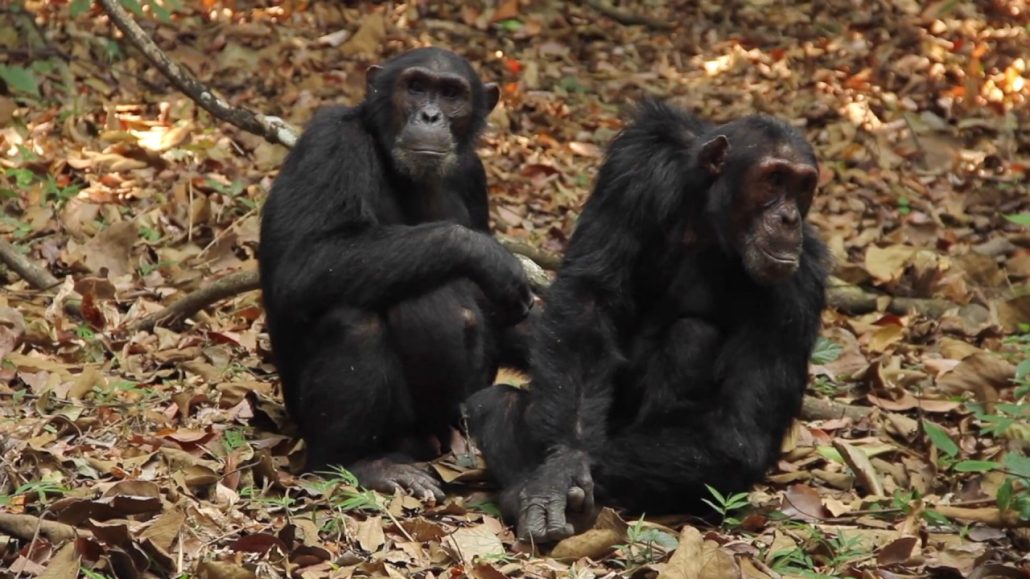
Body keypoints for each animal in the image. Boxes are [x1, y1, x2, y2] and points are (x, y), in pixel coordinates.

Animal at [259, 47, 531, 498]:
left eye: (451, 93)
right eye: (416, 87)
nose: (430, 115)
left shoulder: (474, 176)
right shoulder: (329, 143)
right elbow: (305, 263)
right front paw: (490, 257)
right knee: (355, 323)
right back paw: (357, 465)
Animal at [471, 100, 832, 539]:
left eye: (803, 186)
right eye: (774, 179)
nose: (788, 218)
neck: (709, 222)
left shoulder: (799, 289)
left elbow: (737, 435)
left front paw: (545, 469)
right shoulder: (637, 168)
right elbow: (590, 300)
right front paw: (563, 462)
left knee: (692, 335)